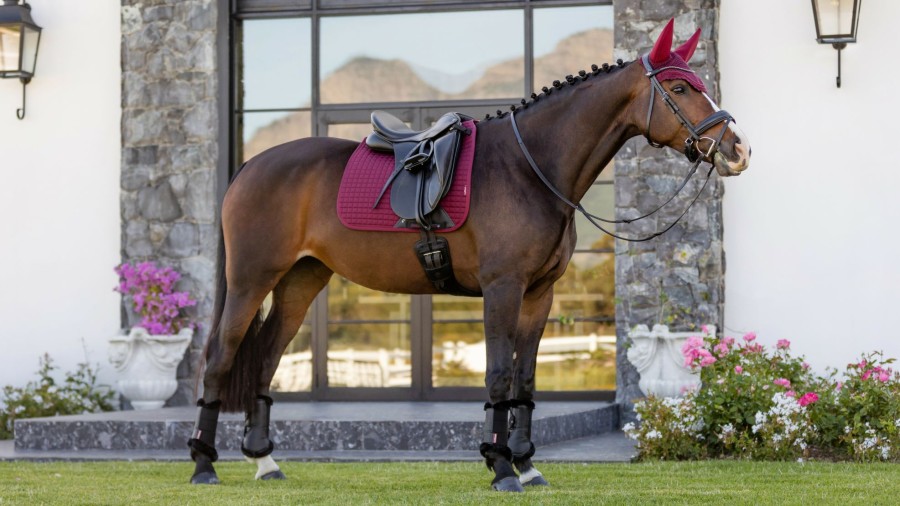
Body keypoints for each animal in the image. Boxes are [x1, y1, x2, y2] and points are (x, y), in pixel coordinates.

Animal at [190, 19, 752, 490]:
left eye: (699, 82)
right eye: (679, 88)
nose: (737, 150)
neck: (529, 169)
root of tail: (249, 167)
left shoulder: (539, 294)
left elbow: (525, 377)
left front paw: (526, 465)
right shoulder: (502, 288)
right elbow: (499, 374)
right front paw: (501, 466)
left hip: (301, 280)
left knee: (265, 358)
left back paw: (265, 461)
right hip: (250, 280)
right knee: (220, 357)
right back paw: (203, 464)